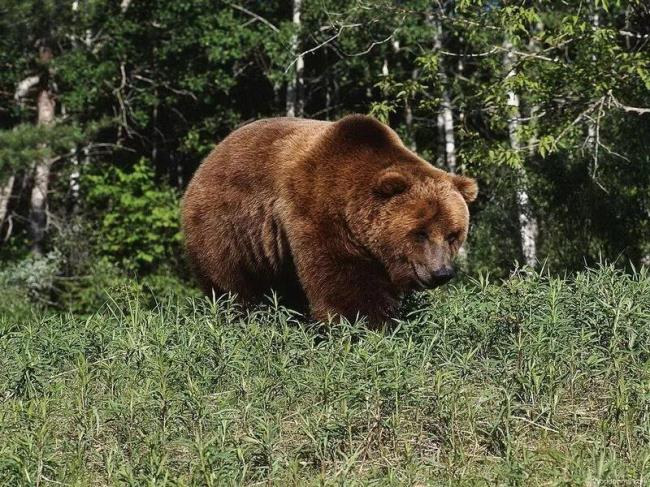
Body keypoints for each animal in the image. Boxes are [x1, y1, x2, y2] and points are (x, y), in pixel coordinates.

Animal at [182, 115, 476, 328]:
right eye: (420, 233)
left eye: (453, 235)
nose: (441, 272)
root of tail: (209, 159)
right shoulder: (318, 213)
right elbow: (344, 284)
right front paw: (368, 325)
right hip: (227, 228)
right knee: (232, 283)